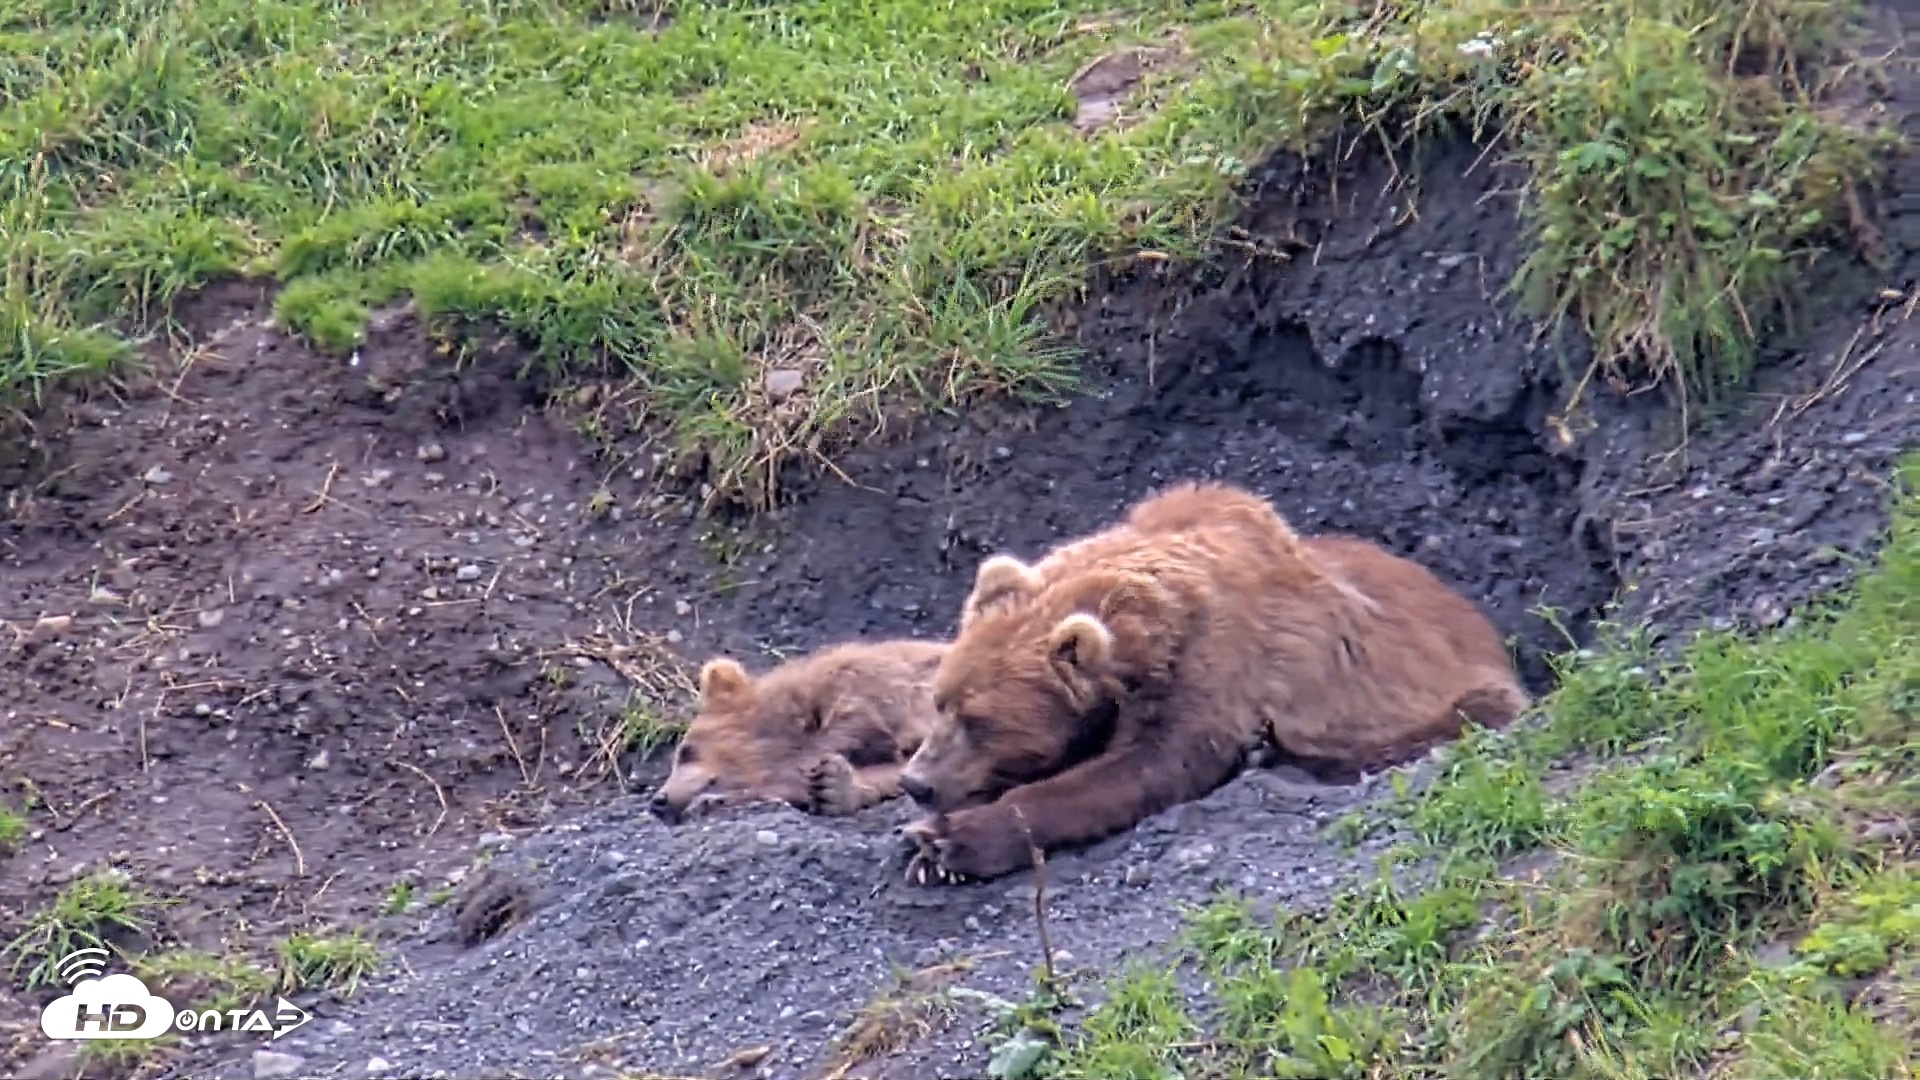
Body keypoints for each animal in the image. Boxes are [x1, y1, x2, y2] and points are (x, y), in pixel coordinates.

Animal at [896, 480, 1530, 884]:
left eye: (980, 722)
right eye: (940, 702)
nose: (915, 782)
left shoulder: (1214, 660)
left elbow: (1148, 766)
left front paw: (950, 841)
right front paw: (927, 844)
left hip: (1461, 687)